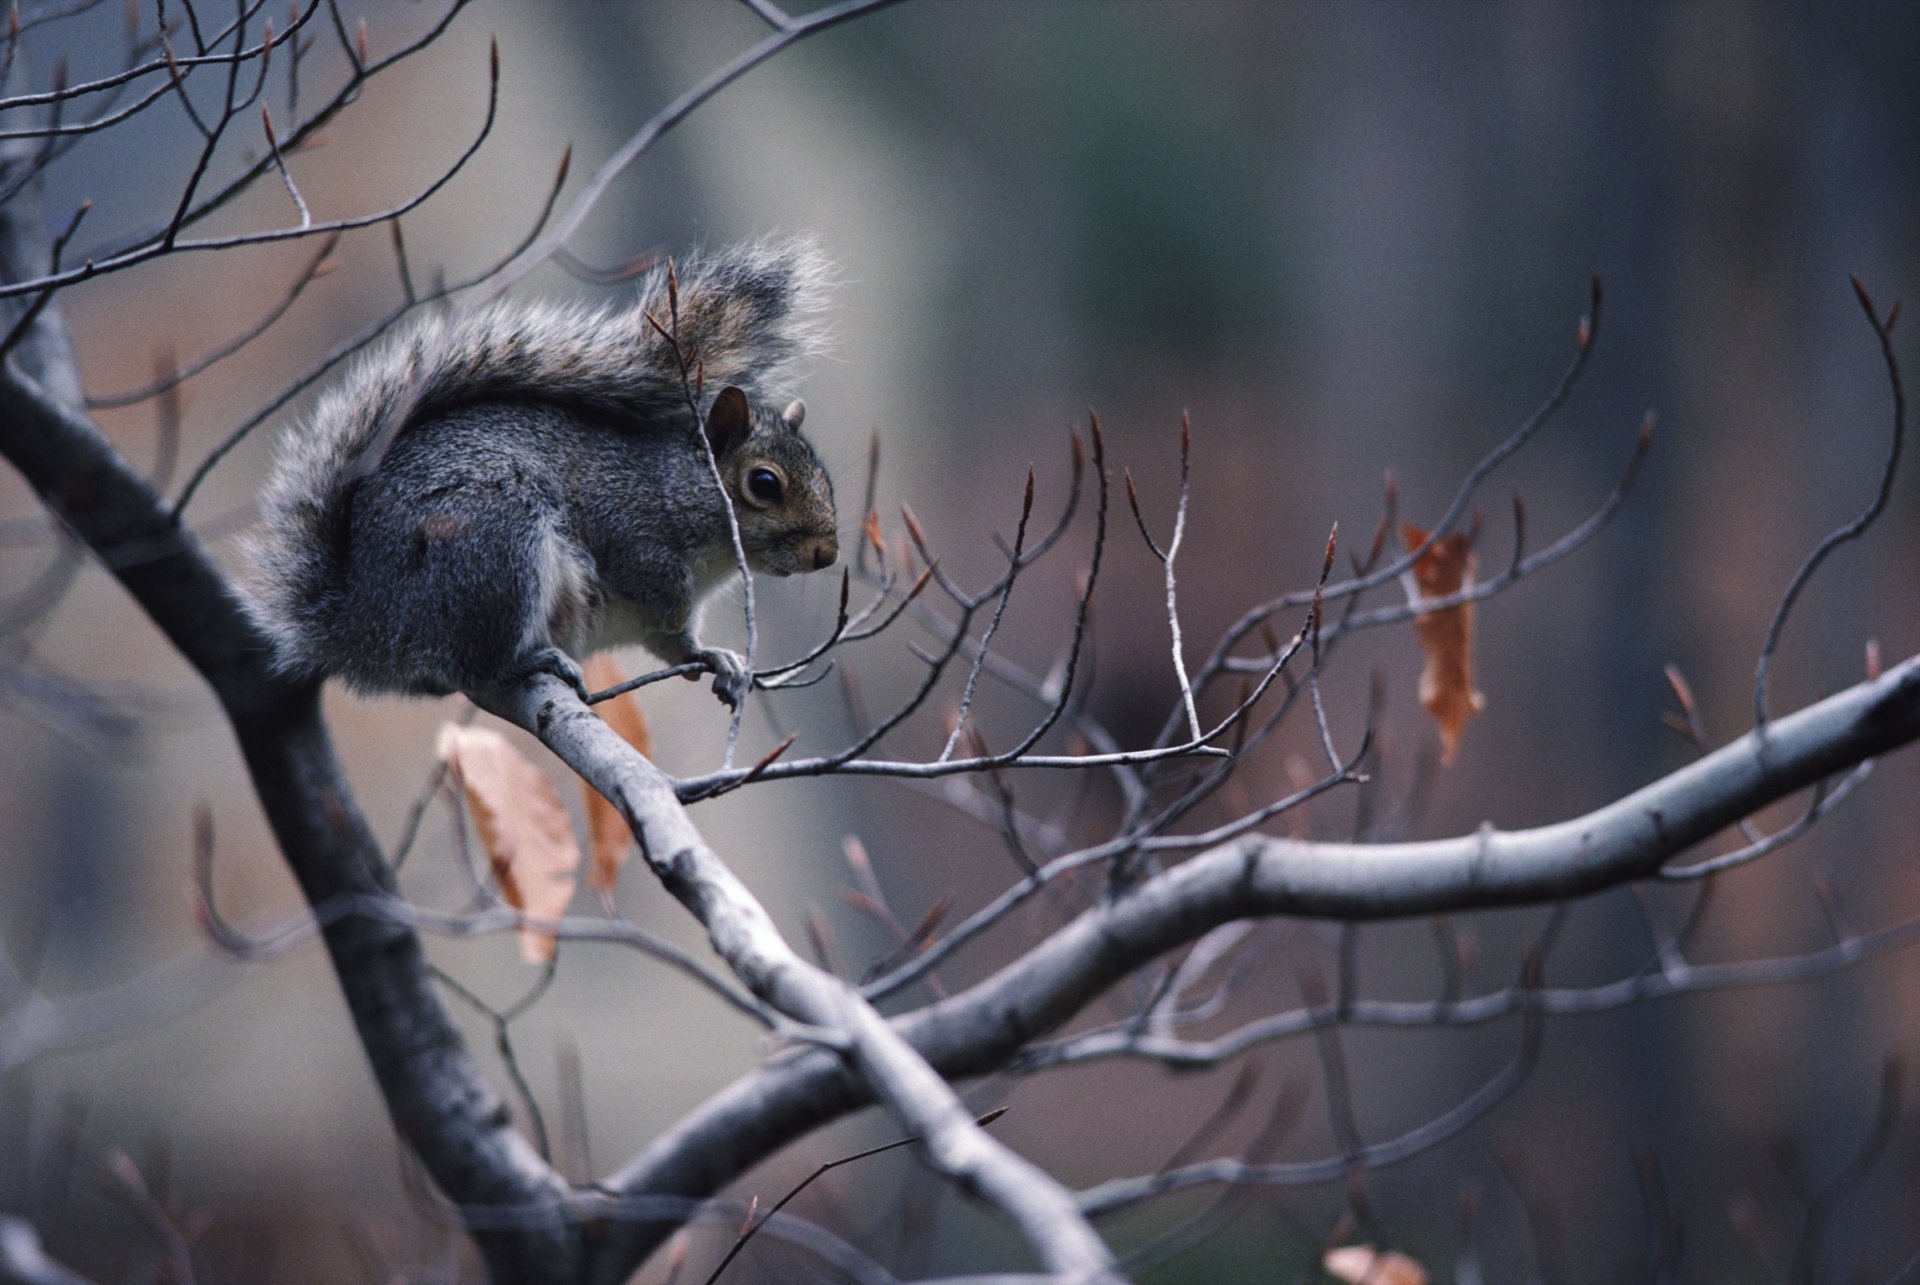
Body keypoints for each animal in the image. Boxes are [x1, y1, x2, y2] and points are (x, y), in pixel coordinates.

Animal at [243, 238, 839, 709]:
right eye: (765, 483)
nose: (827, 555)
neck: (678, 490)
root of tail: (364, 622)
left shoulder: (657, 625)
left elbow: (676, 645)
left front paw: (718, 659)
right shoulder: (628, 522)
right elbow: (644, 575)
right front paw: (673, 602)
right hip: (494, 546)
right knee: (471, 662)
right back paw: (529, 663)